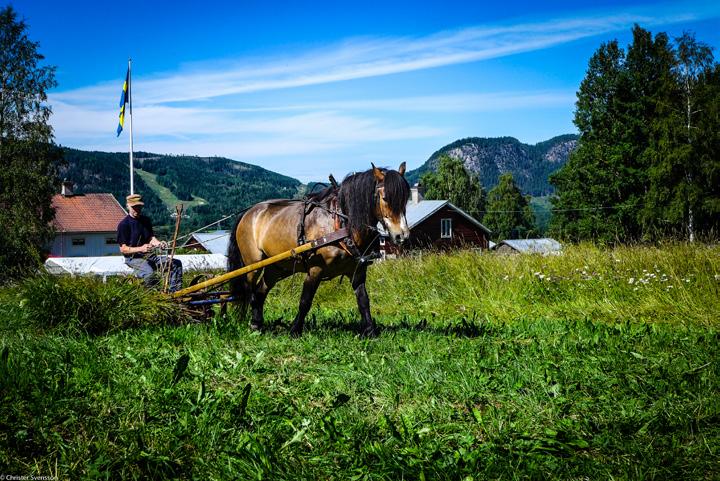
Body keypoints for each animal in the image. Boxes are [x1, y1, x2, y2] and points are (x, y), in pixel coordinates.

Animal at [228, 163, 414, 336]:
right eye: (385, 198)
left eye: (405, 199)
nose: (402, 236)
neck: (341, 223)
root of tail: (249, 212)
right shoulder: (315, 269)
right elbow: (305, 301)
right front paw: (295, 330)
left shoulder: (357, 271)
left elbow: (363, 301)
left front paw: (370, 331)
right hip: (253, 265)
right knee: (249, 291)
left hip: (276, 267)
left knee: (260, 291)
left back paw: (257, 323)